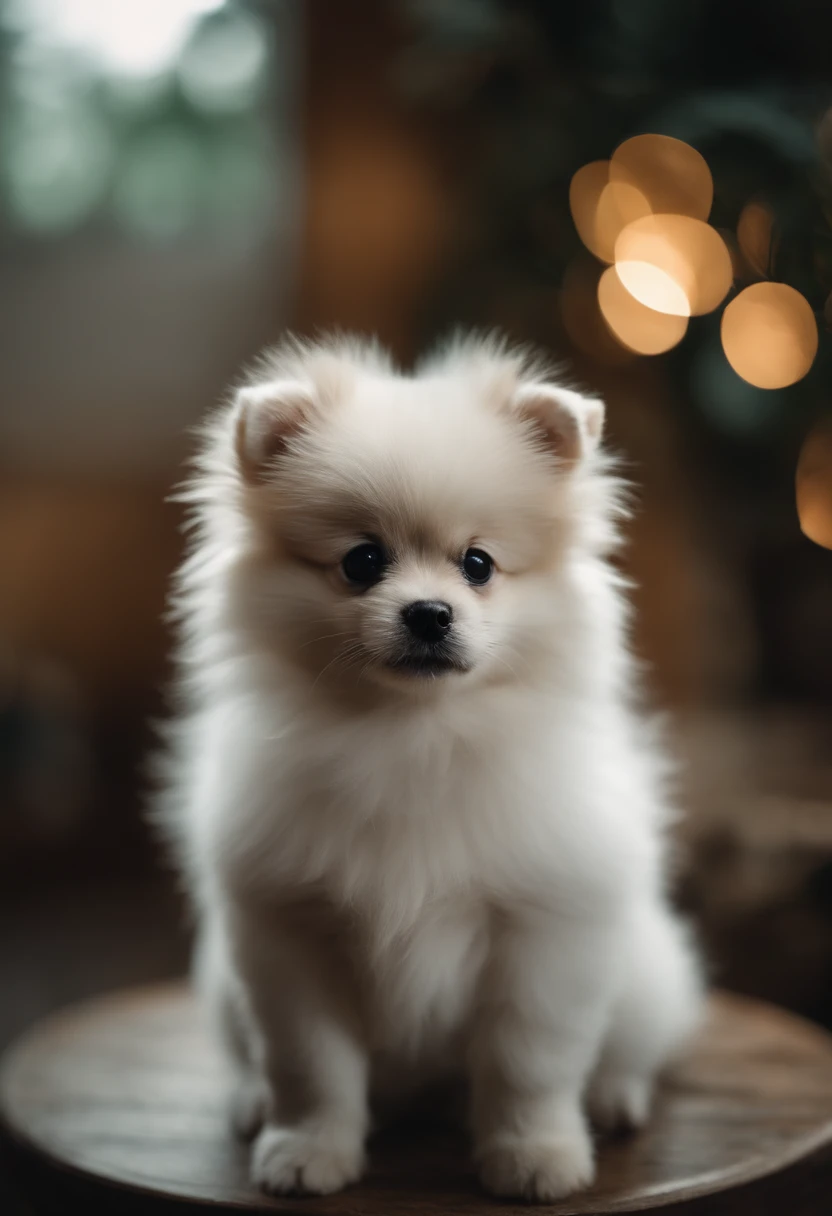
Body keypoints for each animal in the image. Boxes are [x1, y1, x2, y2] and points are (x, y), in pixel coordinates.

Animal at [155, 330, 700, 1196]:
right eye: (361, 562)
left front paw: (535, 1155)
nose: (429, 613)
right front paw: (309, 1149)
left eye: (477, 564)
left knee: (630, 1047)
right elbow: (311, 1064)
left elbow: (528, 1060)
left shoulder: (542, 930)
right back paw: (251, 1101)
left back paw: (613, 1097)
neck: (413, 734)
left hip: (647, 975)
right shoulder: (291, 930)